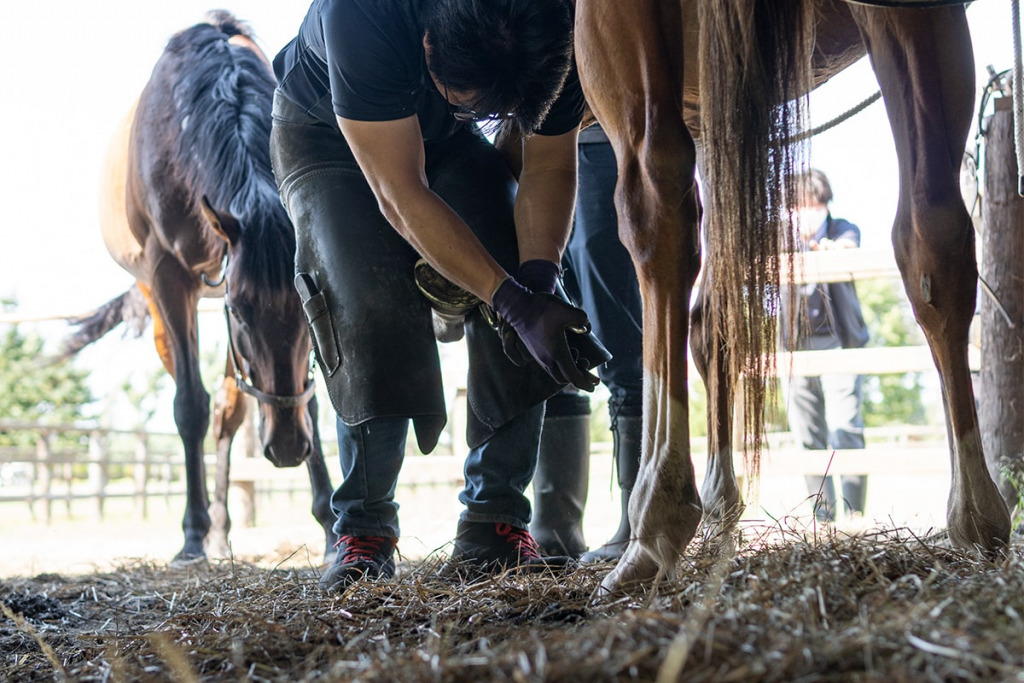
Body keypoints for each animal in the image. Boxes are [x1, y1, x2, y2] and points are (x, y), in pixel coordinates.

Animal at [67, 10, 335, 565]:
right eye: (241, 311)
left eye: (306, 309)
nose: (288, 447)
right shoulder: (171, 278)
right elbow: (189, 405)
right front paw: (192, 533)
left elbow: (313, 400)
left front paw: (328, 520)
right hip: (163, 303)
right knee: (206, 407)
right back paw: (207, 531)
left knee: (229, 415)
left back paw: (222, 530)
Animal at [573, 0, 1011, 593]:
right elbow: (714, 324)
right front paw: (720, 505)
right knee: (932, 235)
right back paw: (978, 516)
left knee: (654, 201)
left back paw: (653, 518)